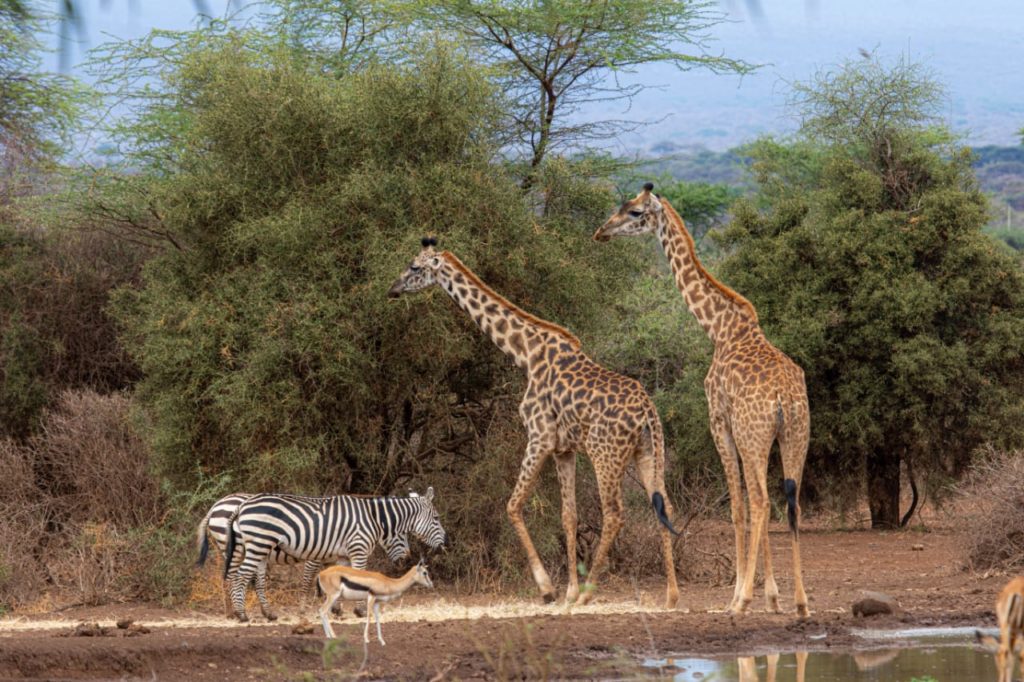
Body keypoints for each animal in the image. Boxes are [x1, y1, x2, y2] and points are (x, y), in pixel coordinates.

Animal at [223, 487, 448, 621]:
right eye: (436, 518)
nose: (444, 544)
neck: (373, 518)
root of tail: (242, 505)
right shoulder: (358, 549)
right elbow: (359, 578)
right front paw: (360, 610)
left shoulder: (343, 554)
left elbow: (343, 578)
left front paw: (337, 610)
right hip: (257, 544)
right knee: (240, 575)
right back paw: (241, 614)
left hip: (257, 547)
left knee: (248, 577)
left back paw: (261, 614)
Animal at [388, 237, 680, 608]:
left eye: (414, 266)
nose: (392, 289)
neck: (525, 353)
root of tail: (647, 411)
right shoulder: (563, 449)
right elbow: (568, 516)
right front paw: (568, 591)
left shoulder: (539, 436)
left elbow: (513, 505)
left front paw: (549, 589)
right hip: (648, 451)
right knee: (663, 504)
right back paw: (671, 596)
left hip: (606, 454)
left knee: (615, 513)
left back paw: (589, 595)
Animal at [593, 183, 810, 617]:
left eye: (635, 211)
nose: (601, 232)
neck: (719, 328)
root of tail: (784, 397)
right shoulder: (745, 433)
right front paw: (773, 597)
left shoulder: (719, 423)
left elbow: (738, 506)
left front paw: (744, 594)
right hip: (796, 435)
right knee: (791, 502)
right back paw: (800, 602)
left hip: (756, 437)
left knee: (761, 501)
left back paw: (742, 602)